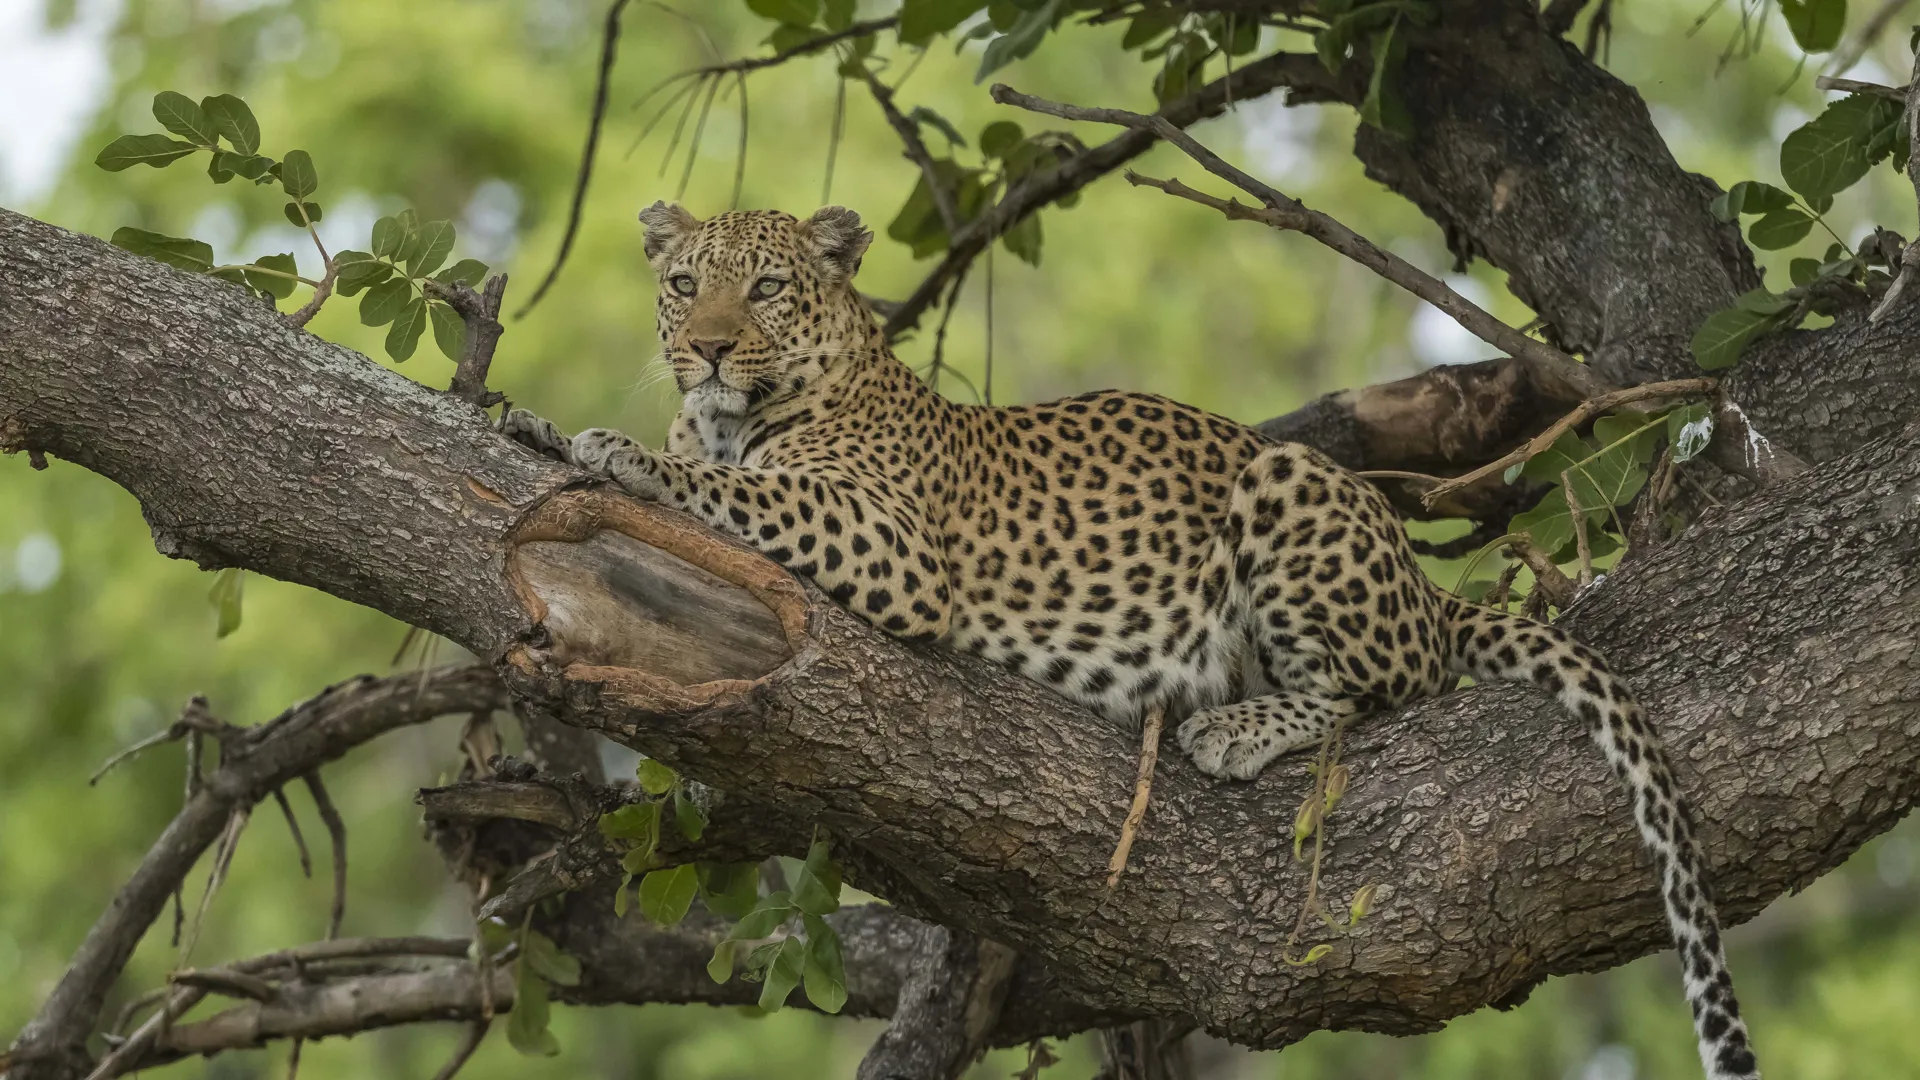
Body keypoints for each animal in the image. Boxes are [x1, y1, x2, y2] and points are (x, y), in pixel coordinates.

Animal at [502, 202, 1759, 1080]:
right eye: (682, 287)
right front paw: (532, 418)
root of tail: (1421, 584)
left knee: (1381, 686)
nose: (709, 350)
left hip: (1288, 483)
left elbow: (735, 489)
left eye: (765, 288)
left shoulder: (892, 542)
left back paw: (1235, 726)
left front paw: (624, 451)